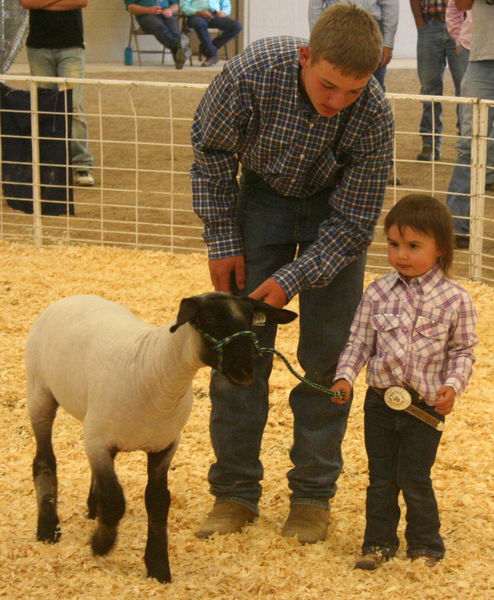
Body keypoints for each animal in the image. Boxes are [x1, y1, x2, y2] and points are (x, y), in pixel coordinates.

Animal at [26, 292, 298, 584]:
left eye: (250, 322)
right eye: (211, 320)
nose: (245, 372)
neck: (154, 370)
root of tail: (73, 297)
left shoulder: (164, 445)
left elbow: (157, 502)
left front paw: (158, 566)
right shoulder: (99, 440)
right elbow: (114, 500)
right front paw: (101, 544)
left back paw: (91, 509)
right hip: (39, 394)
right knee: (44, 461)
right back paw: (48, 528)